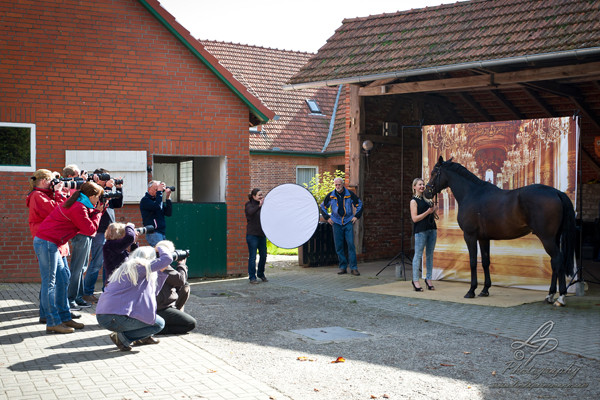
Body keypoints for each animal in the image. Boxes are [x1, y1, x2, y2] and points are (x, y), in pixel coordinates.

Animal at [424, 156, 576, 306]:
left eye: (434, 173)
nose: (426, 192)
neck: (471, 194)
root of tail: (557, 192)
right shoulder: (483, 238)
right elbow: (485, 261)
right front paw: (485, 290)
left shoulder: (470, 236)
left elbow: (473, 262)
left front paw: (471, 290)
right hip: (553, 238)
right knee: (554, 262)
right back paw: (550, 295)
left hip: (547, 238)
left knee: (558, 259)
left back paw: (560, 297)